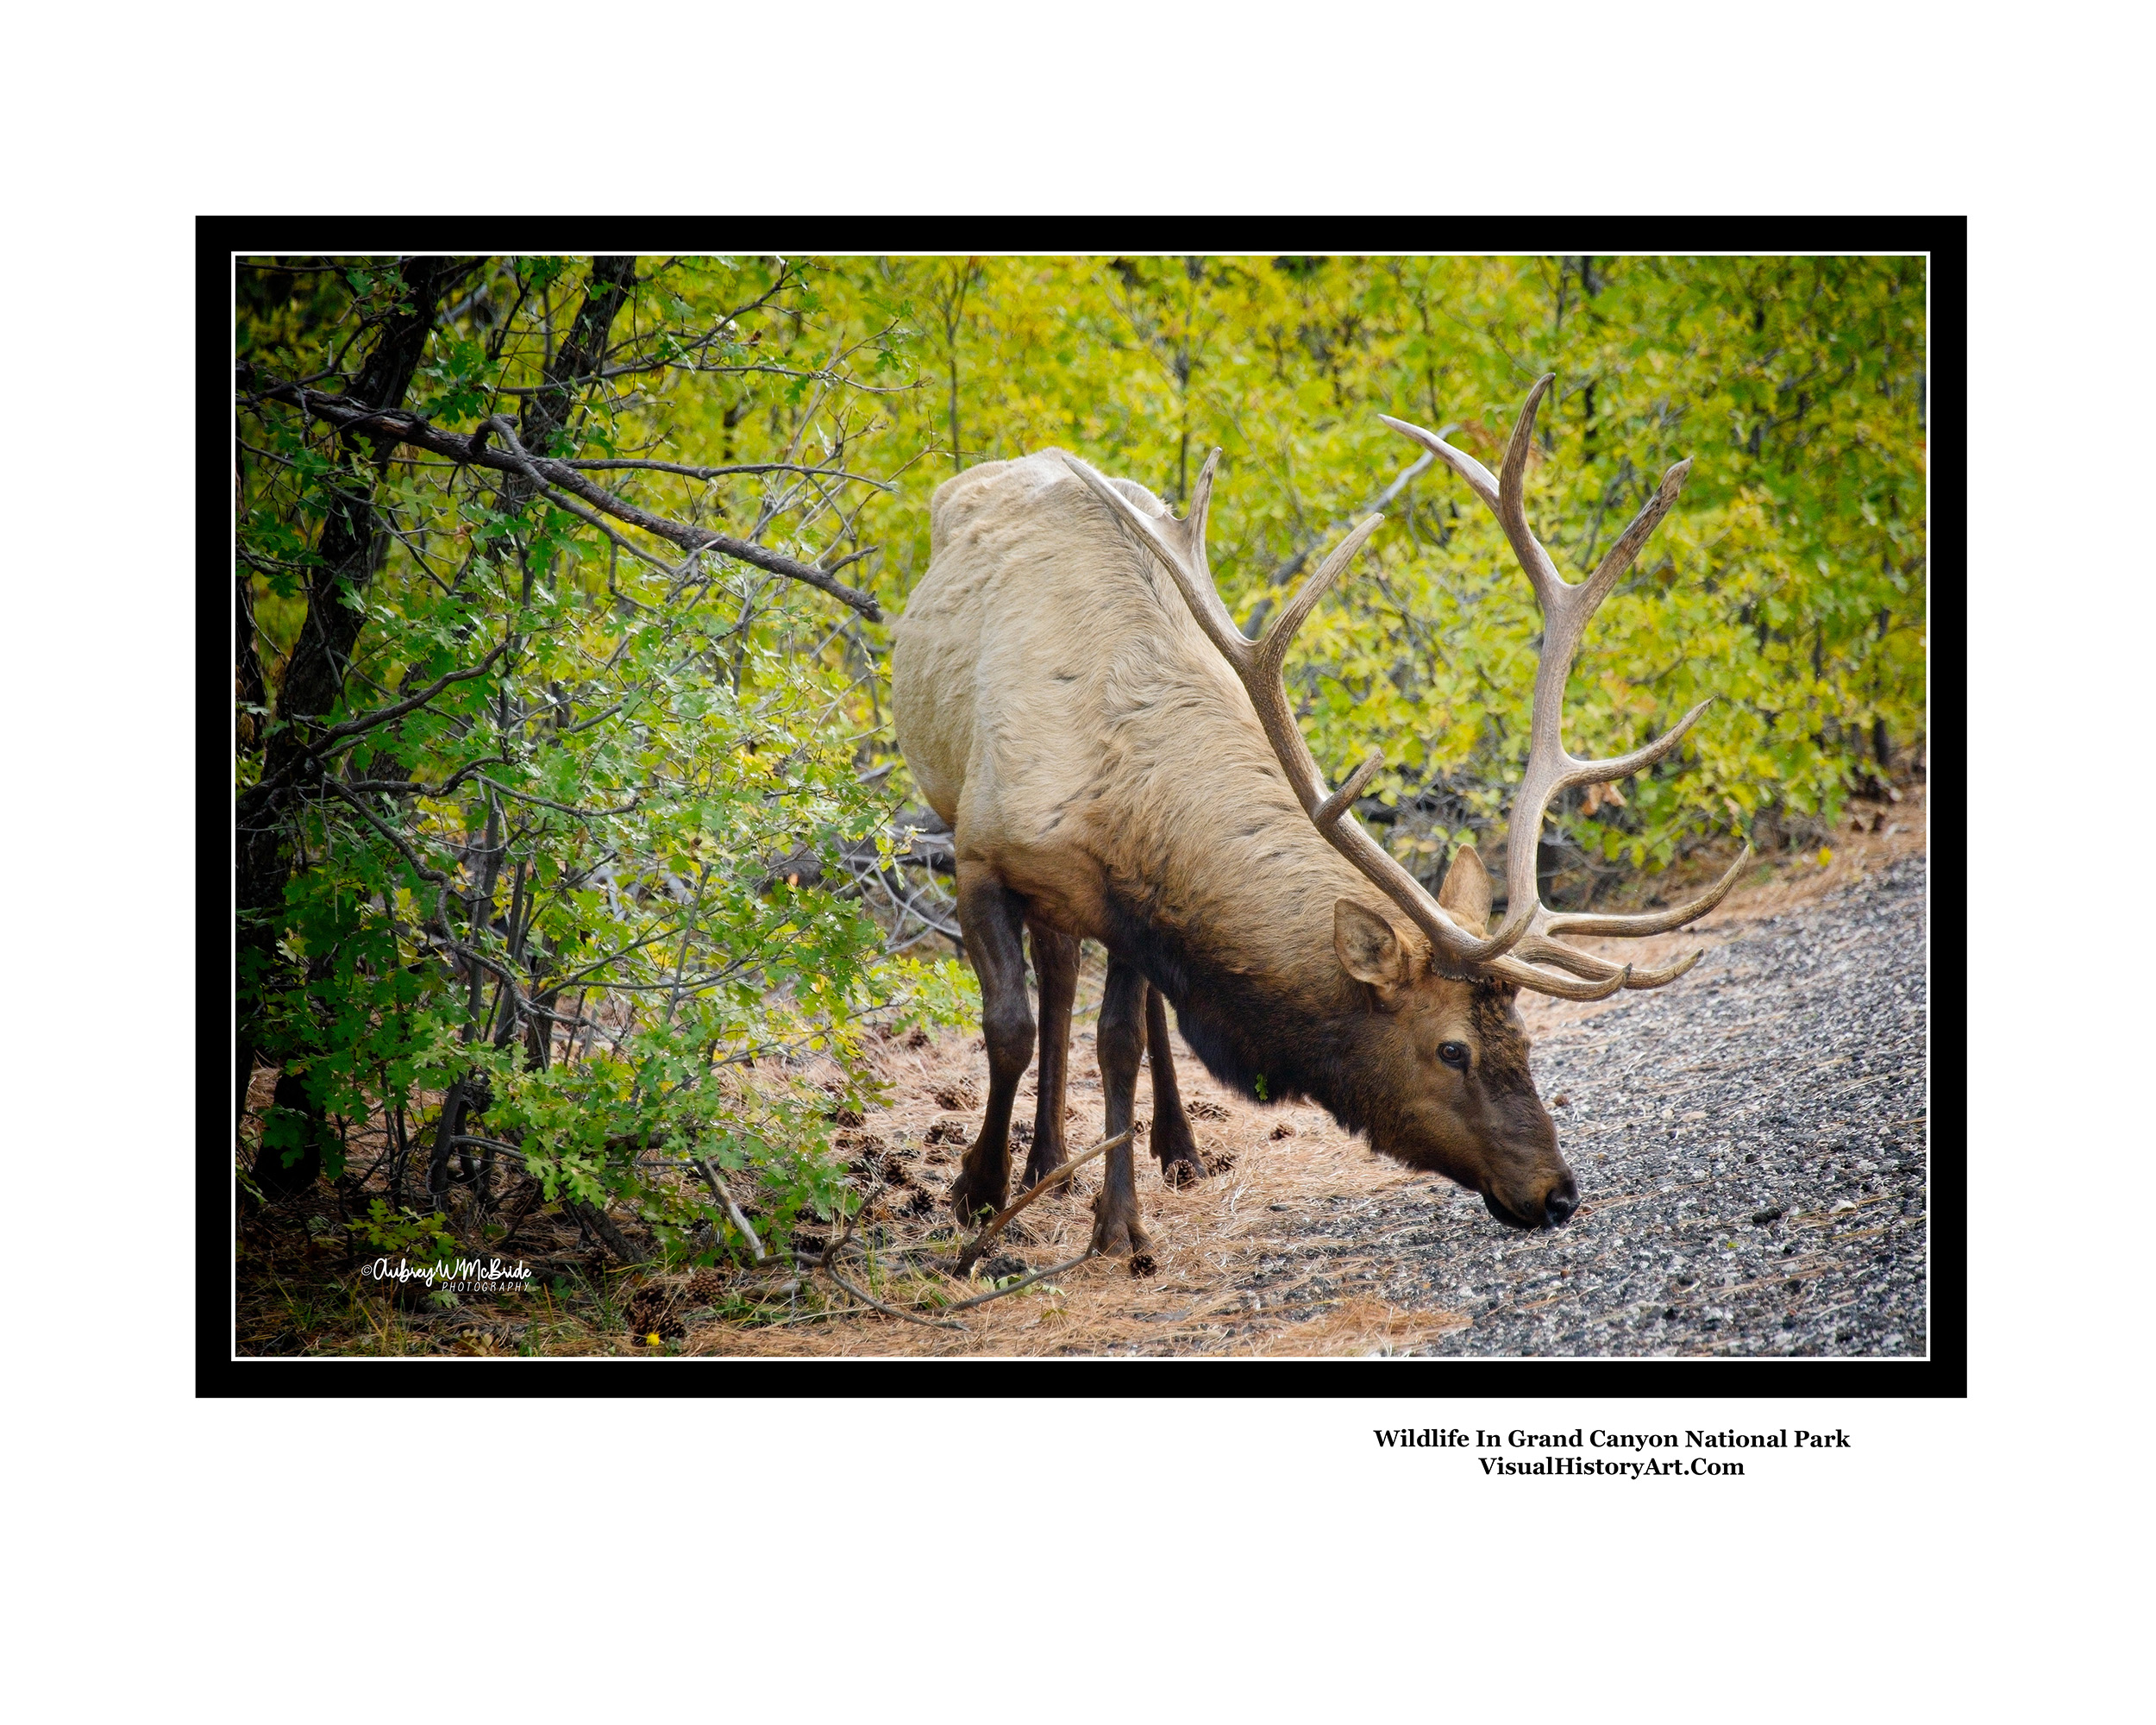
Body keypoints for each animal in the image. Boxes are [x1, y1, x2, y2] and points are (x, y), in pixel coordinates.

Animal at [893, 377, 1751, 1259]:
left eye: (1525, 1038)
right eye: (1452, 1049)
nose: (1557, 1193)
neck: (1107, 772)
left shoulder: (1129, 902)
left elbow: (1120, 1041)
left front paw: (1118, 1226)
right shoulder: (978, 852)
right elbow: (1009, 1028)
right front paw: (976, 1196)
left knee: (1092, 989)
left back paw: (1161, 1151)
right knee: (1054, 980)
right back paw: (1042, 1166)